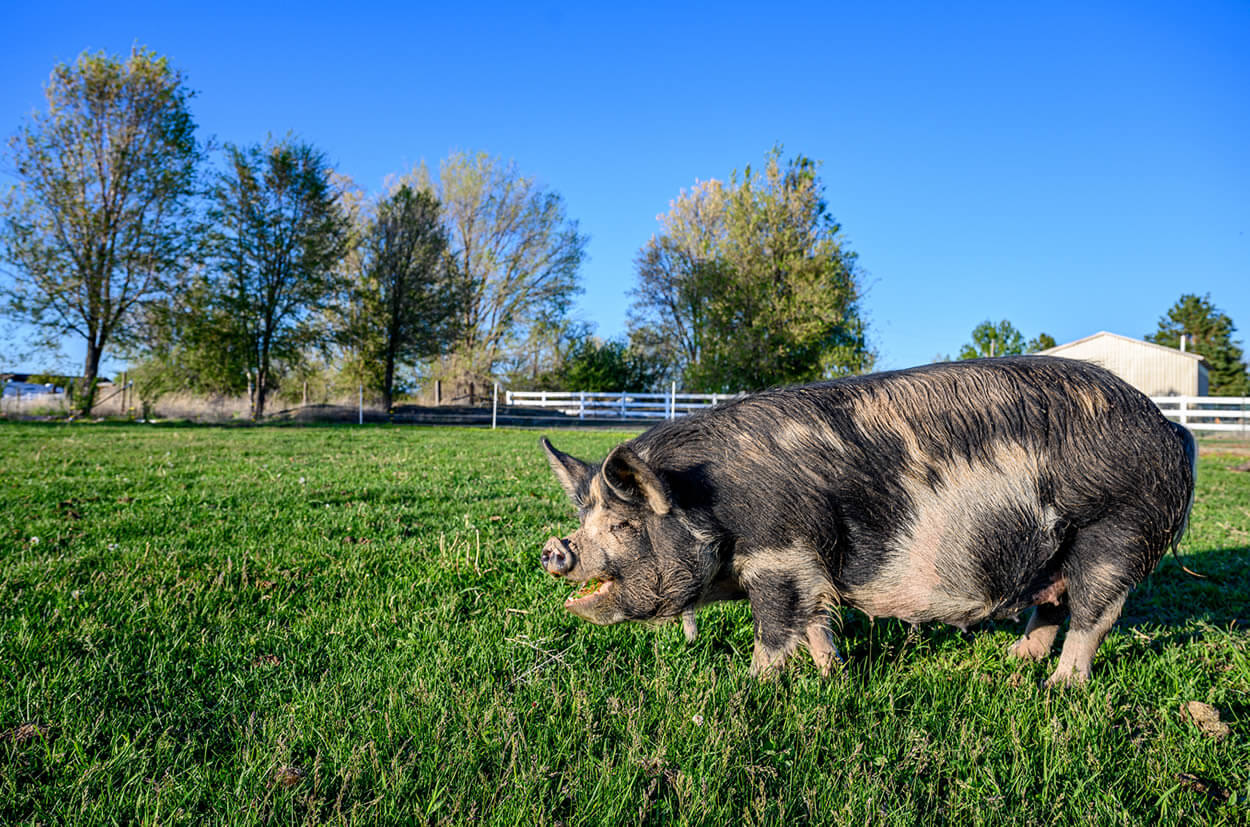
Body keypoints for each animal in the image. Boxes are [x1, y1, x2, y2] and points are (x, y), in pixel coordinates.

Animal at [535, 357, 1190, 684]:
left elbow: (775, 629)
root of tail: (1170, 429)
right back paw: (1013, 665)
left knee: (1093, 616)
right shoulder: (810, 568)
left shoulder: (781, 555)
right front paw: (833, 676)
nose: (554, 550)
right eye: (585, 518)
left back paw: (1058, 690)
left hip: (1116, 533)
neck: (711, 504)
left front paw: (752, 686)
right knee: (1050, 607)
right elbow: (816, 624)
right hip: (1054, 552)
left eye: (622, 528)